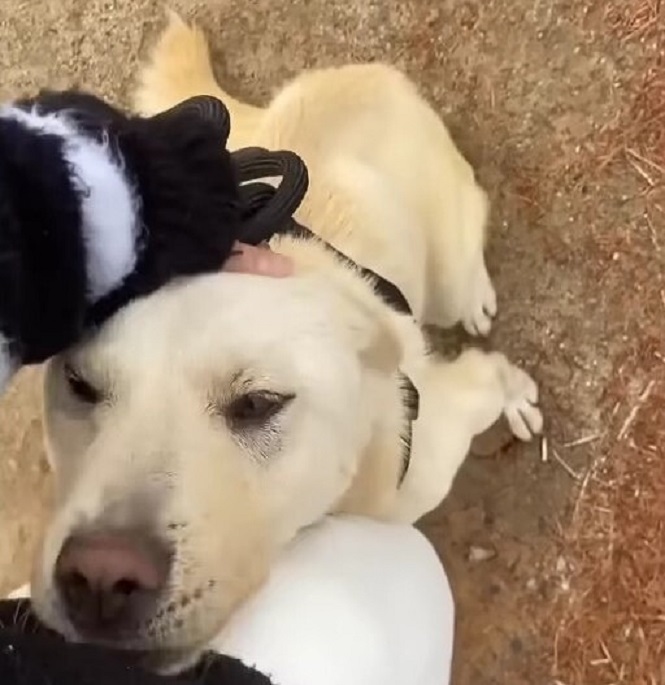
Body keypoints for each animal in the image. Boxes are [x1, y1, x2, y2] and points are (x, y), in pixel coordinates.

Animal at [28, 13, 544, 672]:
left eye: (258, 403)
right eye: (79, 383)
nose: (98, 580)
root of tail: (356, 74)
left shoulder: (452, 413)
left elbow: (498, 373)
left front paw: (520, 399)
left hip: (448, 262)